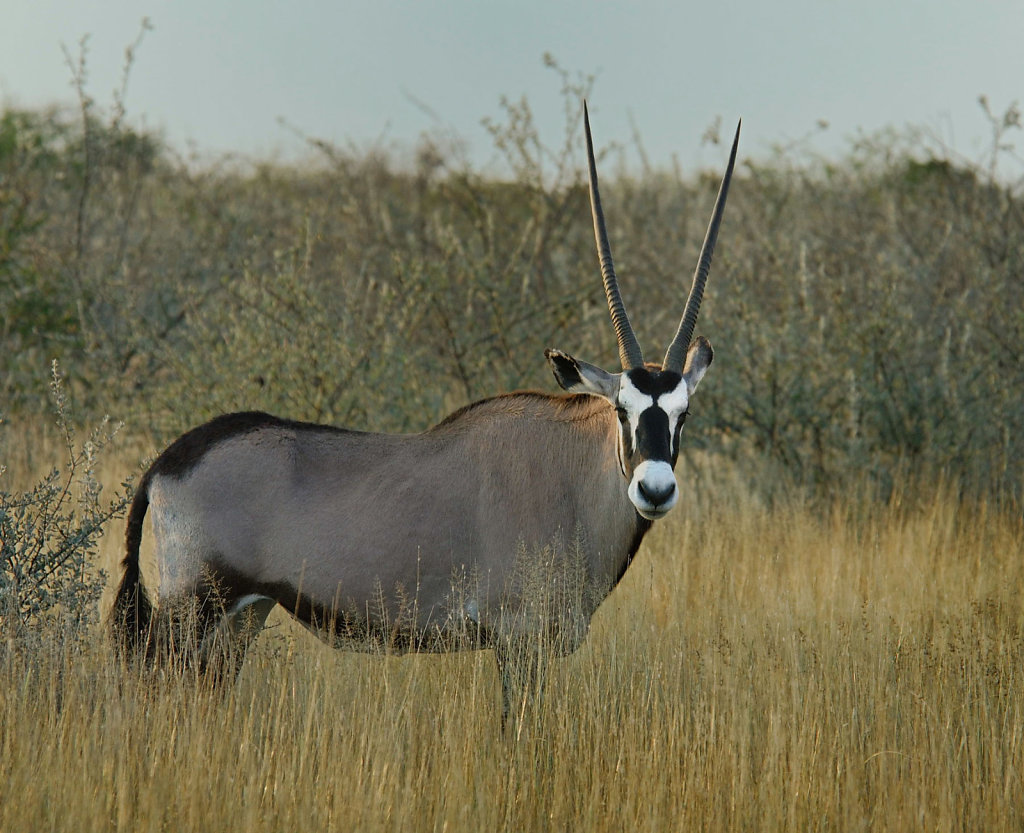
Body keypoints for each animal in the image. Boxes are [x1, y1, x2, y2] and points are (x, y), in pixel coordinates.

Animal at [110, 103, 737, 725]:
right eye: (623, 409)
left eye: (682, 412)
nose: (654, 489)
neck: (575, 471)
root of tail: (166, 463)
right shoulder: (520, 640)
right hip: (189, 611)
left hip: (241, 615)